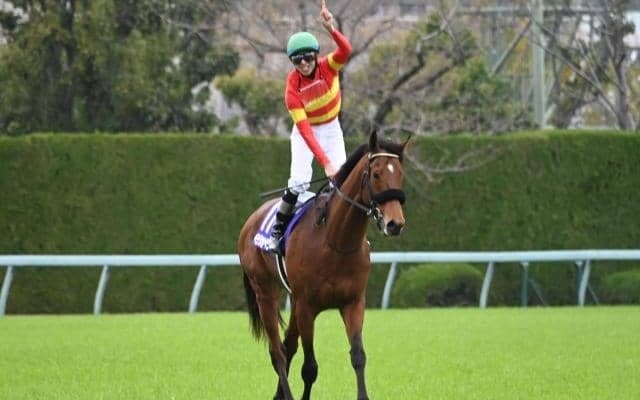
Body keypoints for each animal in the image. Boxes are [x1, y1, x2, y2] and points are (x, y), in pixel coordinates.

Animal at [237, 131, 408, 400]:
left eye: (400, 174)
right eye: (377, 173)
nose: (395, 223)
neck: (335, 242)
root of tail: (251, 220)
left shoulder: (353, 303)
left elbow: (358, 357)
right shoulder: (308, 307)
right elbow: (310, 367)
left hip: (293, 299)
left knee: (287, 346)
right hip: (265, 292)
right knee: (277, 352)